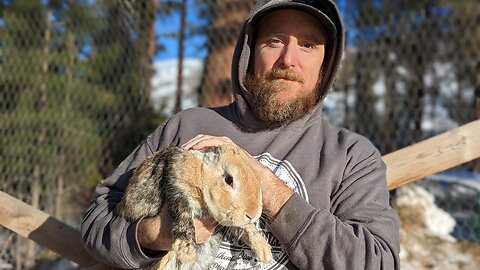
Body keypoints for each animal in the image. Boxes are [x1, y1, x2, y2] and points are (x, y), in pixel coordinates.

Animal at [116, 144, 272, 270]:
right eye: (229, 179)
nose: (253, 214)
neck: (202, 175)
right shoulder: (178, 190)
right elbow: (184, 218)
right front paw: (186, 253)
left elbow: (246, 227)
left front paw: (265, 252)